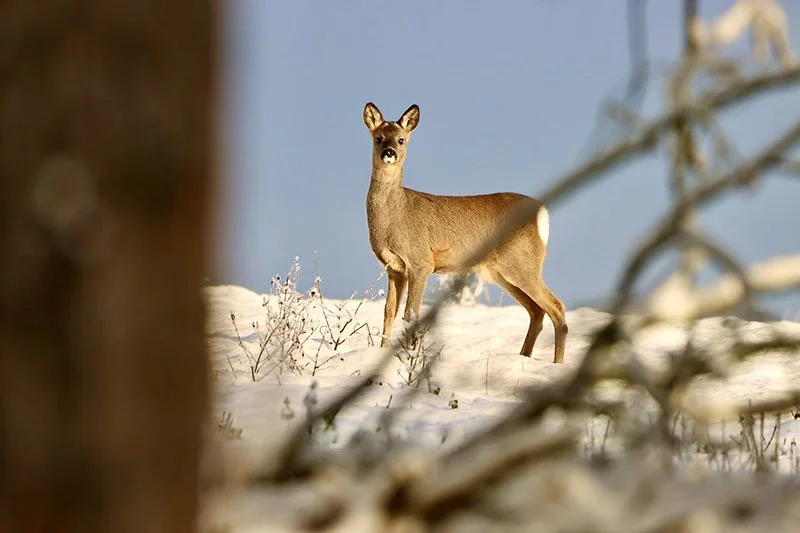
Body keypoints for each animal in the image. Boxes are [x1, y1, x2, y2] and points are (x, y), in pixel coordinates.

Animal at [363, 102, 568, 364]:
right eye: (378, 138)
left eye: (401, 140)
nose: (389, 153)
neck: (395, 217)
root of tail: (542, 213)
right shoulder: (394, 268)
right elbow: (389, 312)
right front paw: (382, 353)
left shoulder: (421, 262)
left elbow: (410, 314)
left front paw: (409, 356)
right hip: (501, 271)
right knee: (536, 310)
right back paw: (524, 357)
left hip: (523, 263)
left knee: (556, 306)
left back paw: (557, 363)